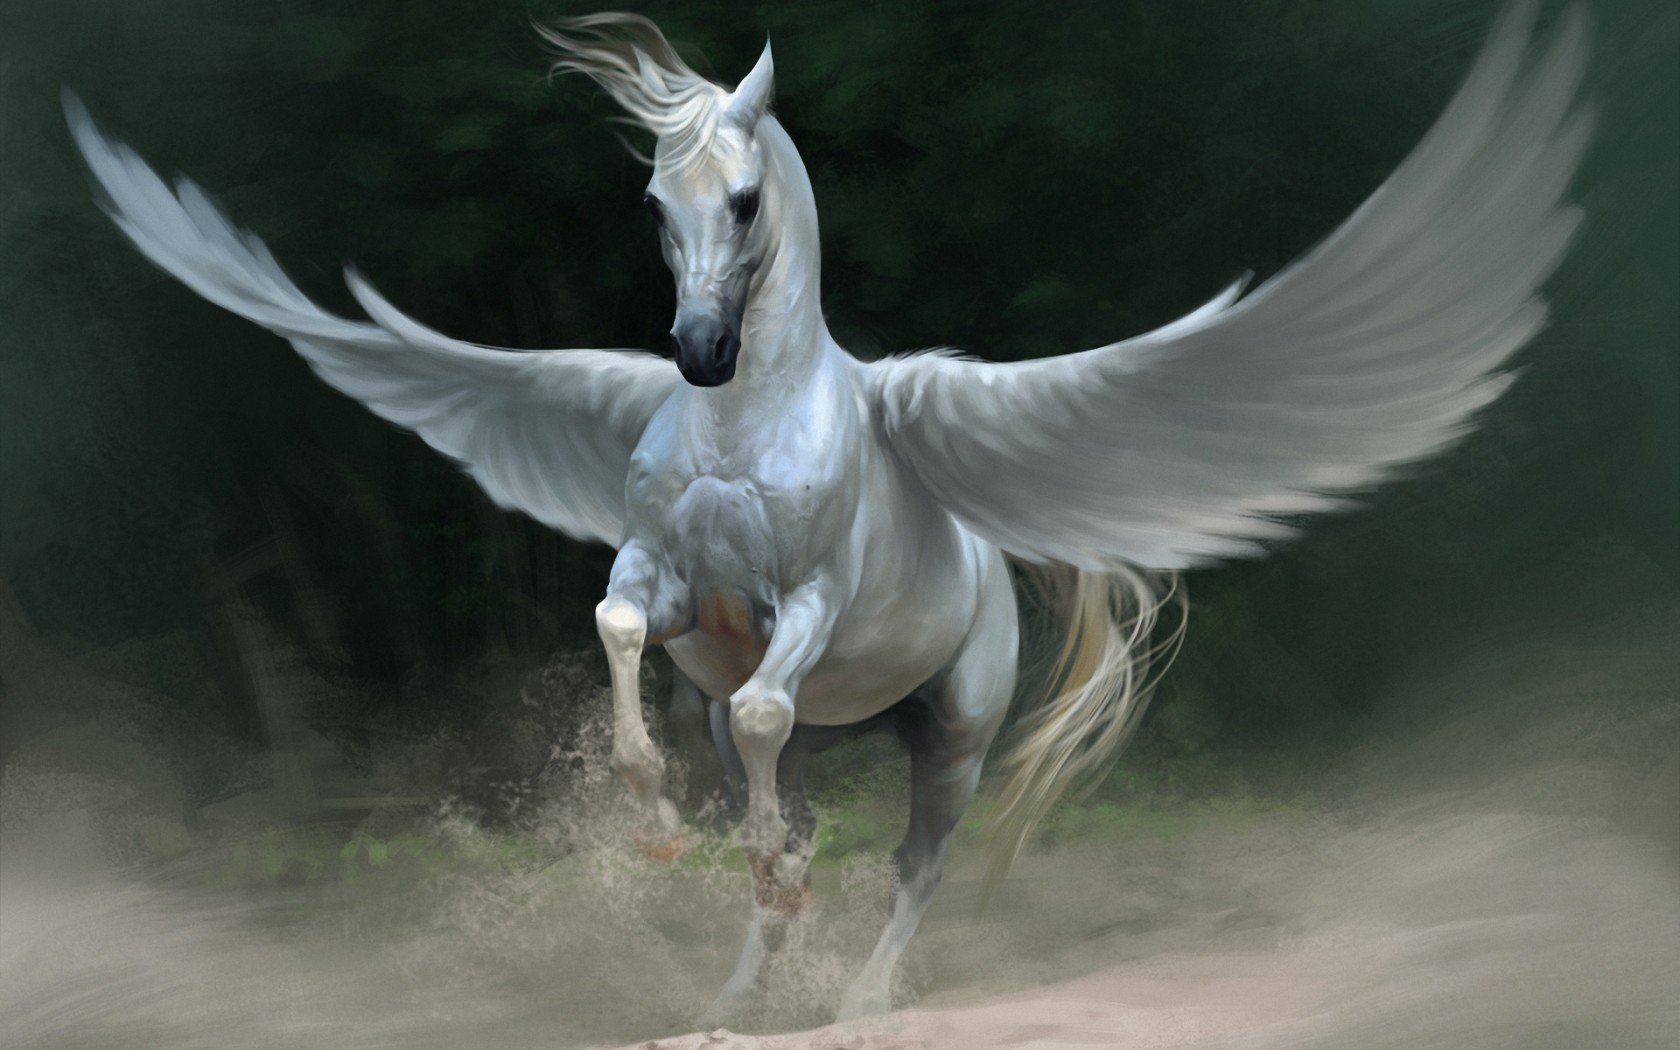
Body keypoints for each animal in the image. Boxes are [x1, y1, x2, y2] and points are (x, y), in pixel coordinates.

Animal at [65, 3, 1589, 1023]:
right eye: (654, 198)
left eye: (745, 201)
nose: (694, 354)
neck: (752, 420)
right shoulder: (667, 574)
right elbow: (626, 633)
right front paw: (653, 821)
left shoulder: (804, 606)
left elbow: (753, 711)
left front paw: (719, 855)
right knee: (792, 812)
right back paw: (733, 995)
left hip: (953, 735)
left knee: (914, 861)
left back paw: (857, 999)